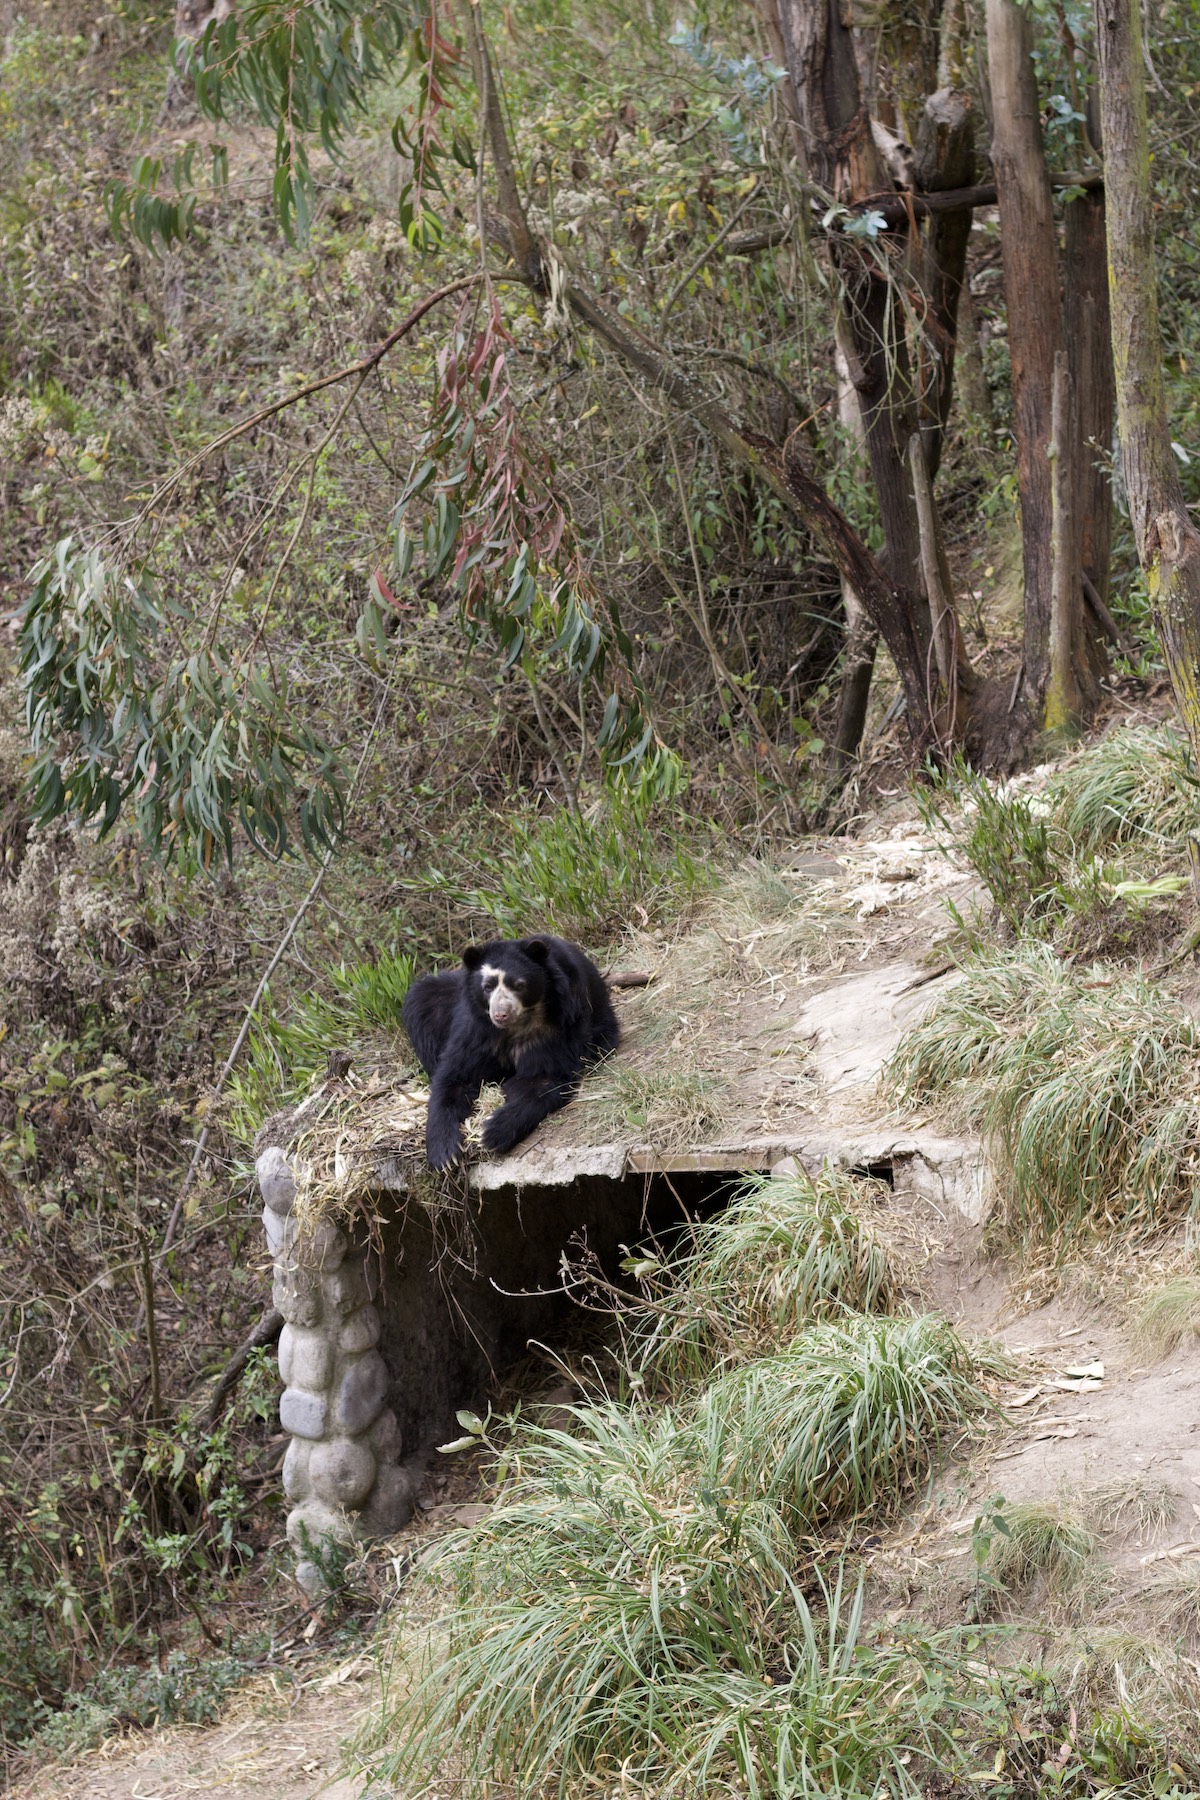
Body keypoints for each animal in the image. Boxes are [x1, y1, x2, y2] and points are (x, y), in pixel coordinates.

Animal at [408, 936, 626, 1173]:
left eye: (519, 985)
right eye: (487, 987)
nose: (500, 1014)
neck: (514, 1028)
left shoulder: (558, 1028)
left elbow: (543, 1079)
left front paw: (491, 1133)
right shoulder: (476, 1031)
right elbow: (455, 1078)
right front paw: (445, 1156)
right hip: (435, 999)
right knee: (423, 1001)